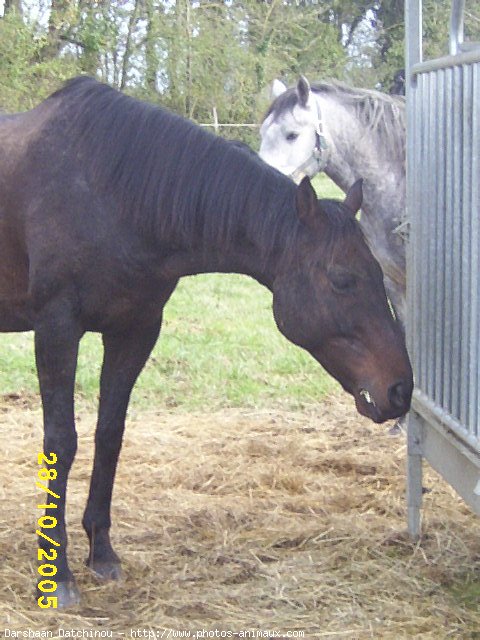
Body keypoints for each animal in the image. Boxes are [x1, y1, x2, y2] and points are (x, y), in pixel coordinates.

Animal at [0, 77, 412, 608]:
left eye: (379, 275)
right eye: (342, 279)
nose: (400, 389)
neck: (110, 192)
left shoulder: (135, 330)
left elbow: (109, 435)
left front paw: (102, 552)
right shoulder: (56, 329)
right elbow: (62, 443)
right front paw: (59, 574)